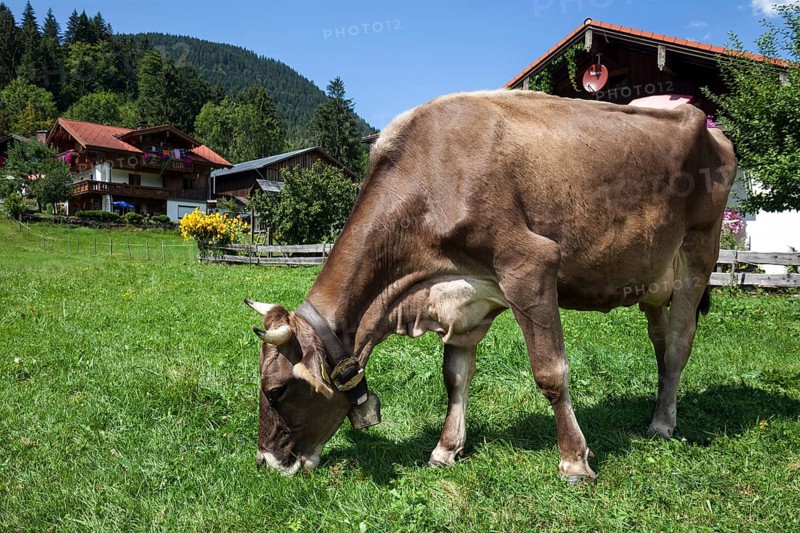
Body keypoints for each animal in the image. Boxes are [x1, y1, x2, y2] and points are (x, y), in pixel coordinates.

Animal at [245, 90, 736, 480]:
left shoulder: (529, 265)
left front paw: (574, 461)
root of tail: (706, 123)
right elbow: (454, 375)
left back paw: (663, 424)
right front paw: (445, 448)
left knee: (679, 343)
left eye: (276, 390)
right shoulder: (461, 299)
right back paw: (658, 410)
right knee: (660, 341)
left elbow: (550, 373)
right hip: (650, 278)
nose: (265, 461)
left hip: (699, 252)